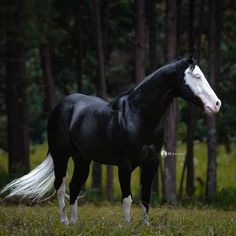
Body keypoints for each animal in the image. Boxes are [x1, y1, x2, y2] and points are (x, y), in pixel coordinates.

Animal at [0, 55, 220, 225]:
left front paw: (146, 225)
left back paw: (75, 223)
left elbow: (146, 196)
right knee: (60, 187)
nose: (217, 104)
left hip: (82, 159)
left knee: (74, 186)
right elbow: (127, 199)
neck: (138, 115)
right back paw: (64, 222)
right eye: (197, 76)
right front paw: (128, 226)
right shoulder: (124, 165)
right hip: (60, 155)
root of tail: (62, 105)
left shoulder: (152, 162)